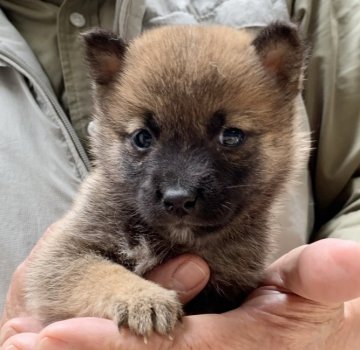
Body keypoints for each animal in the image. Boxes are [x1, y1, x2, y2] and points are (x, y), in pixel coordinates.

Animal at [25, 23, 308, 338]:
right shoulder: (64, 256)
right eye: (142, 137)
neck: (175, 241)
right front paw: (143, 299)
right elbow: (100, 272)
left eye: (232, 136)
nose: (178, 200)